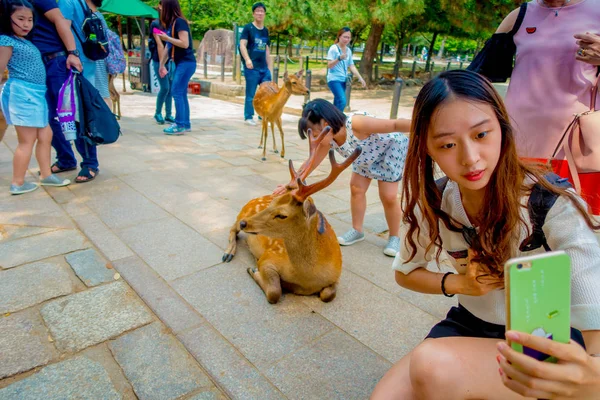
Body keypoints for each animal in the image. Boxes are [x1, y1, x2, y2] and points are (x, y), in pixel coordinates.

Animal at [221, 130, 358, 304]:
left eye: (282, 215)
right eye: (273, 202)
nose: (246, 223)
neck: (305, 279)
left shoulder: (335, 277)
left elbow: (328, 295)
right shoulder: (268, 258)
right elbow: (274, 292)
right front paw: (253, 270)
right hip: (243, 212)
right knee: (232, 228)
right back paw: (228, 253)